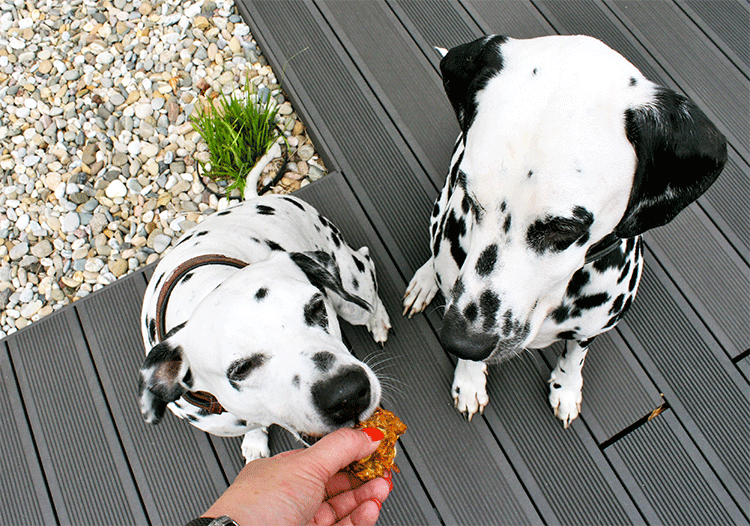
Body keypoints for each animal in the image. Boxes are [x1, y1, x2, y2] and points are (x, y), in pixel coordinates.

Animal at [139, 189, 394, 462]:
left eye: (316, 307)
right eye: (240, 368)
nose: (347, 393)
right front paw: (255, 440)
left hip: (351, 297)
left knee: (365, 265)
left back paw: (377, 318)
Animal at [406, 34, 728, 428]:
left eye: (564, 229)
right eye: (471, 197)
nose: (461, 342)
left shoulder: (591, 327)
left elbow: (576, 354)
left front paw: (567, 387)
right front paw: (469, 380)